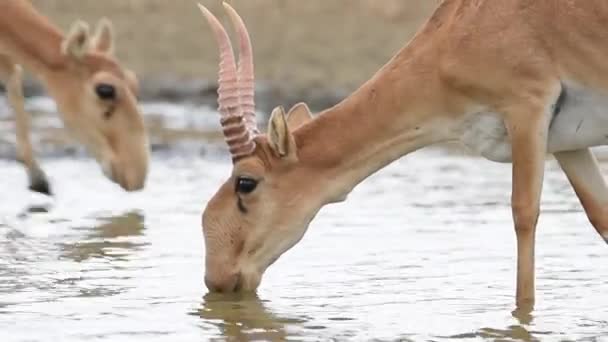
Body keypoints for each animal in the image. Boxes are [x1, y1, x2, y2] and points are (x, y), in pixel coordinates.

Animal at [198, 0, 608, 312]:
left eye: (245, 182)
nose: (217, 278)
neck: (459, 31)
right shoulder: (566, 143)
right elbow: (600, 216)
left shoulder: (527, 109)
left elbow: (524, 215)